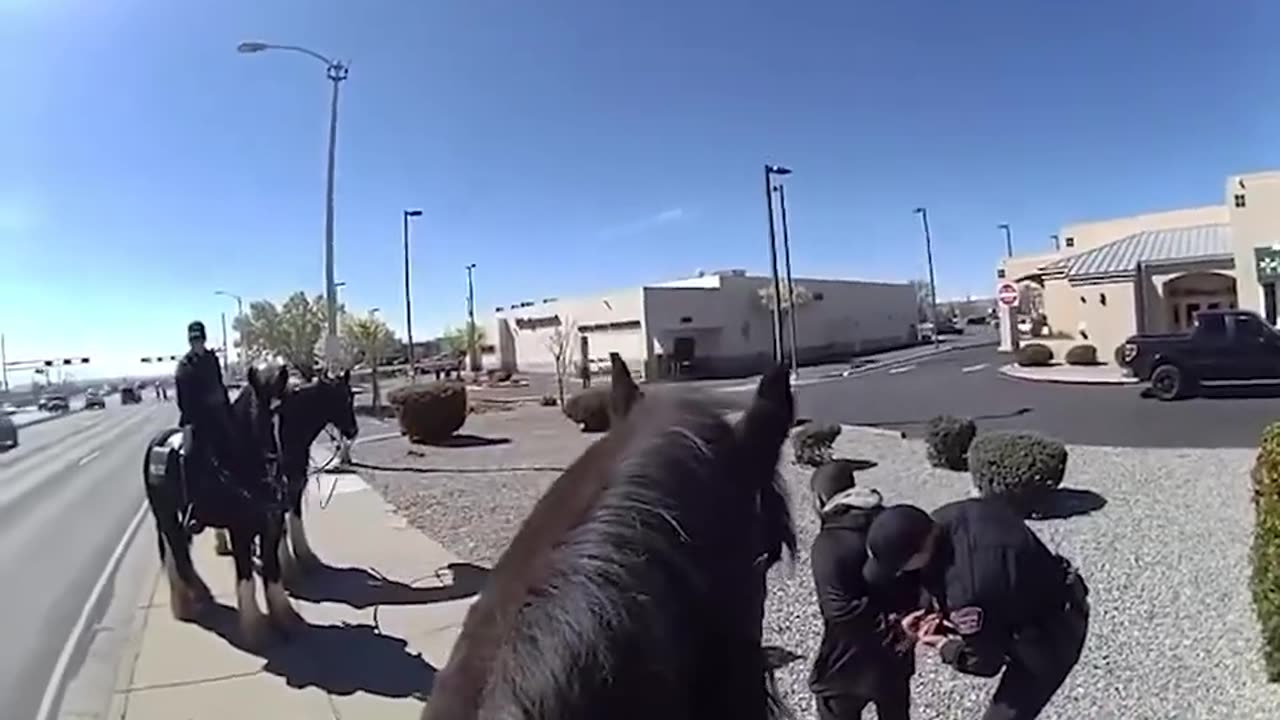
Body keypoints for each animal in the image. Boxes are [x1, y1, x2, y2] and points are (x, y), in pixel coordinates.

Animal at [141, 361, 298, 648]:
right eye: (260, 413)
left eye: (286, 410)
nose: (280, 462)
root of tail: (157, 442)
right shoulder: (240, 532)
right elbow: (246, 577)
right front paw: (255, 631)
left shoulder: (270, 529)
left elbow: (273, 573)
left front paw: (286, 619)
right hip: (165, 514)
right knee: (177, 551)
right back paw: (191, 600)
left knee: (176, 551)